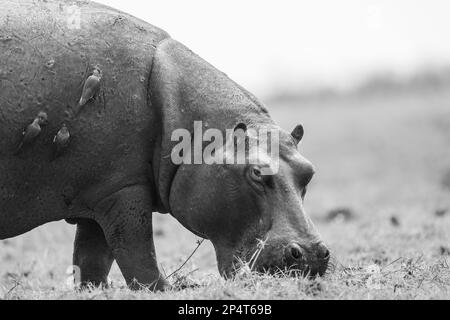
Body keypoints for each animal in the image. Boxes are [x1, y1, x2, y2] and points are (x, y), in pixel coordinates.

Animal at [0, 0, 330, 290]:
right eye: (256, 173)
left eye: (309, 172)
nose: (313, 254)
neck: (198, 131)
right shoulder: (124, 190)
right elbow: (136, 251)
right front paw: (166, 289)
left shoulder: (98, 193)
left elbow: (92, 258)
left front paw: (96, 291)